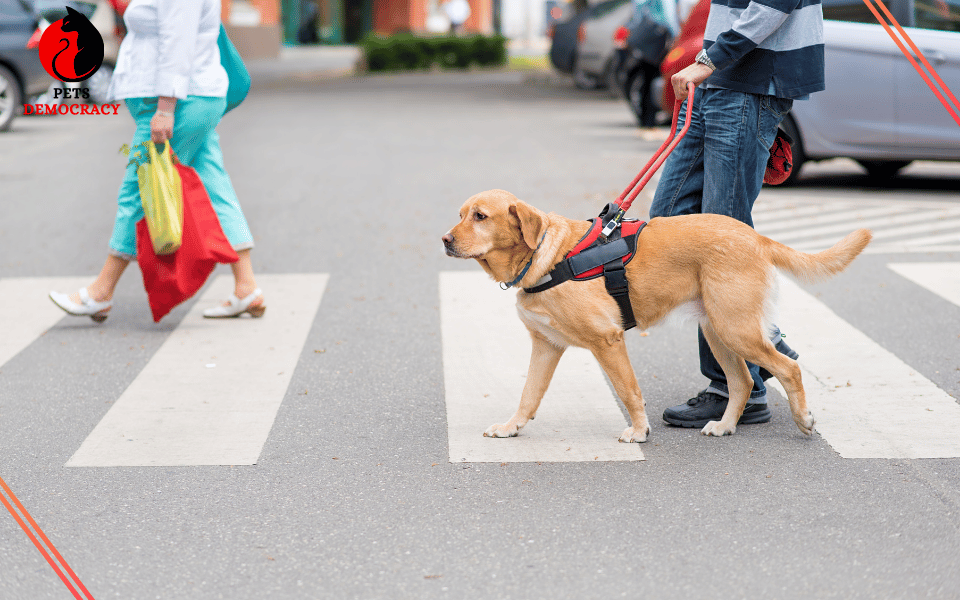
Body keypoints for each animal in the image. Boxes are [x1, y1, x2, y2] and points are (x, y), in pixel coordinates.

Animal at [442, 190, 872, 442]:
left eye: (480, 216)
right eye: (461, 214)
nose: (444, 240)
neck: (546, 258)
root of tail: (755, 236)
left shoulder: (607, 341)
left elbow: (629, 390)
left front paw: (638, 430)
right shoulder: (546, 346)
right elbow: (529, 396)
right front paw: (511, 426)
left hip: (736, 329)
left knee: (789, 368)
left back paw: (803, 420)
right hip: (718, 332)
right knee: (743, 381)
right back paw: (726, 425)